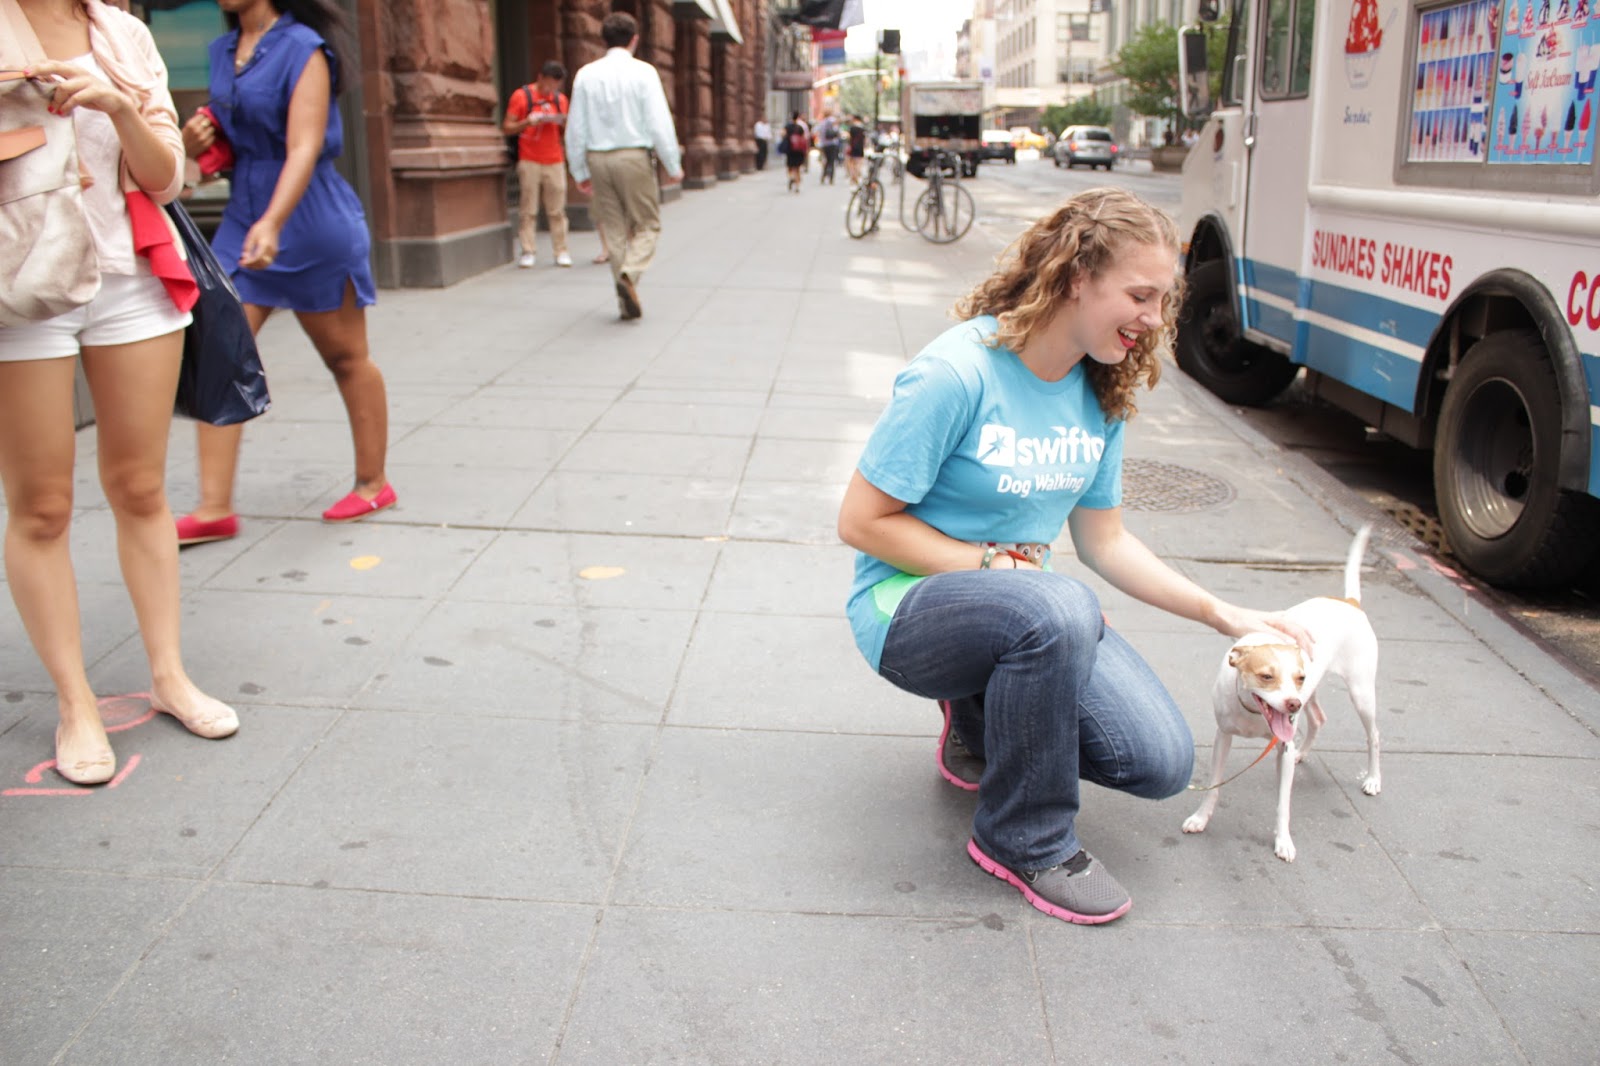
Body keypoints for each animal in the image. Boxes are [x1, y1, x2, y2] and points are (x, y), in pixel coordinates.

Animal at [1184, 524, 1382, 864]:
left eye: (1298, 677)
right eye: (1266, 676)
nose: (1292, 703)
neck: (1252, 714)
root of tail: (1349, 603)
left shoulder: (1283, 748)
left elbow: (1283, 803)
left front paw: (1283, 841)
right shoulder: (1223, 737)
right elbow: (1214, 785)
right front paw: (1201, 818)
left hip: (1359, 693)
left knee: (1374, 735)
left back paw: (1372, 779)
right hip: (1315, 696)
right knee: (1318, 719)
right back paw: (1305, 750)